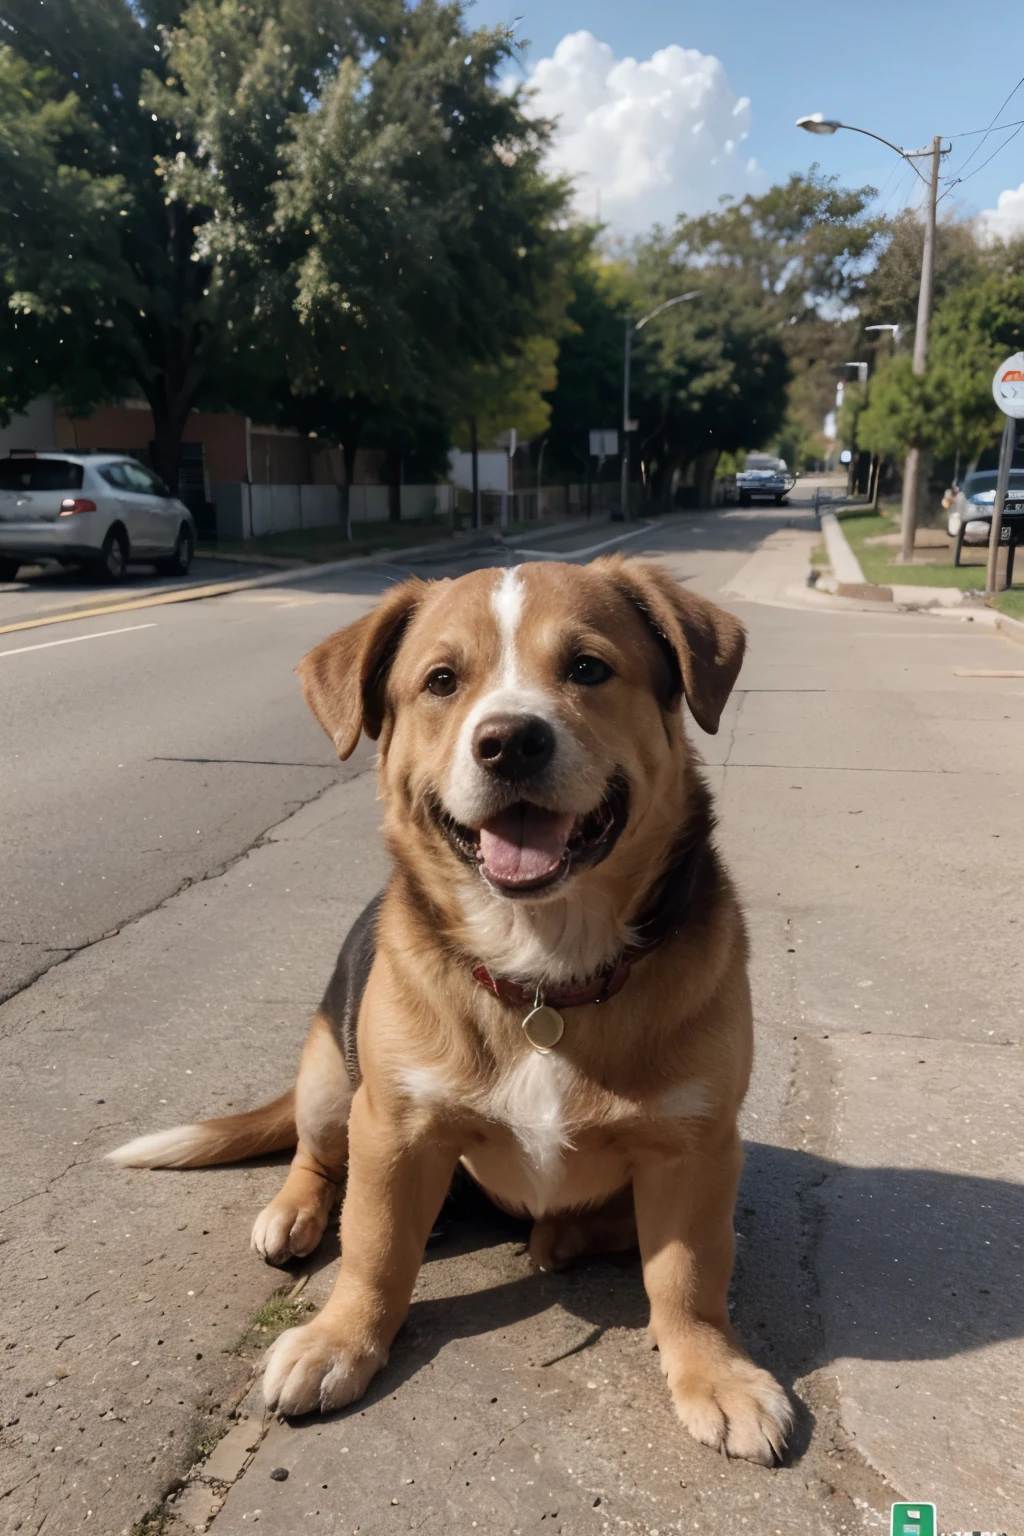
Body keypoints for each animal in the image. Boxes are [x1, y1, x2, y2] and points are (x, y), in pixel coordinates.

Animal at [112, 556, 792, 1462]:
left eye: (587, 667)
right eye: (441, 681)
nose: (510, 741)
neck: (543, 976)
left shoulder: (697, 1147)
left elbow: (688, 1275)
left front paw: (715, 1371)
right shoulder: (392, 1125)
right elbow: (372, 1248)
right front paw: (342, 1338)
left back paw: (556, 1236)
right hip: (330, 1082)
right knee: (315, 1160)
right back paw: (298, 1212)